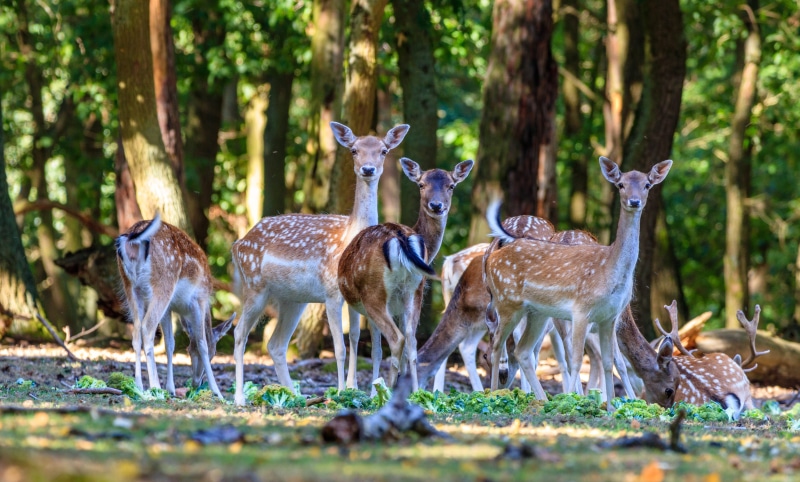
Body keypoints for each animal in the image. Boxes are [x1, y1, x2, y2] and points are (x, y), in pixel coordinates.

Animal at [115, 213, 234, 399]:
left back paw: (138, 386)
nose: (196, 382)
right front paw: (217, 392)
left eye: (187, 350)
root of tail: (132, 239)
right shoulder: (199, 300)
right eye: (214, 353)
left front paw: (171, 388)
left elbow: (170, 343)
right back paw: (155, 387)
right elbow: (202, 342)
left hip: (130, 287)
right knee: (147, 328)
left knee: (136, 332)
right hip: (163, 283)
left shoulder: (169, 308)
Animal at [230, 122, 410, 405]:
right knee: (240, 334)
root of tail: (238, 244)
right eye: (354, 150)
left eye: (383, 150)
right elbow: (339, 347)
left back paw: (294, 396)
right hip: (254, 286)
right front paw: (340, 392)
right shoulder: (331, 292)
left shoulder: (352, 296)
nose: (368, 169)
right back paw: (240, 398)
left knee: (276, 344)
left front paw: (352, 389)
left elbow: (356, 339)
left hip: (293, 299)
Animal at [338, 158, 474, 390]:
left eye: (451, 186)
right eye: (421, 184)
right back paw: (414, 391)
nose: (436, 205)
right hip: (414, 290)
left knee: (396, 339)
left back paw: (389, 388)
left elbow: (367, 345)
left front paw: (363, 389)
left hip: (373, 293)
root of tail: (400, 236)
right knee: (411, 339)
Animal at [483, 157, 673, 408]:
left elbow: (609, 362)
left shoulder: (608, 317)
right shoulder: (581, 310)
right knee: (496, 346)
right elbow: (578, 360)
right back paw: (494, 395)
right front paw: (575, 401)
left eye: (647, 185)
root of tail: (493, 257)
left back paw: (541, 400)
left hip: (537, 313)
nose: (634, 201)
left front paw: (609, 407)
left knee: (522, 351)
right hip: (507, 303)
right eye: (620, 184)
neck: (609, 271)